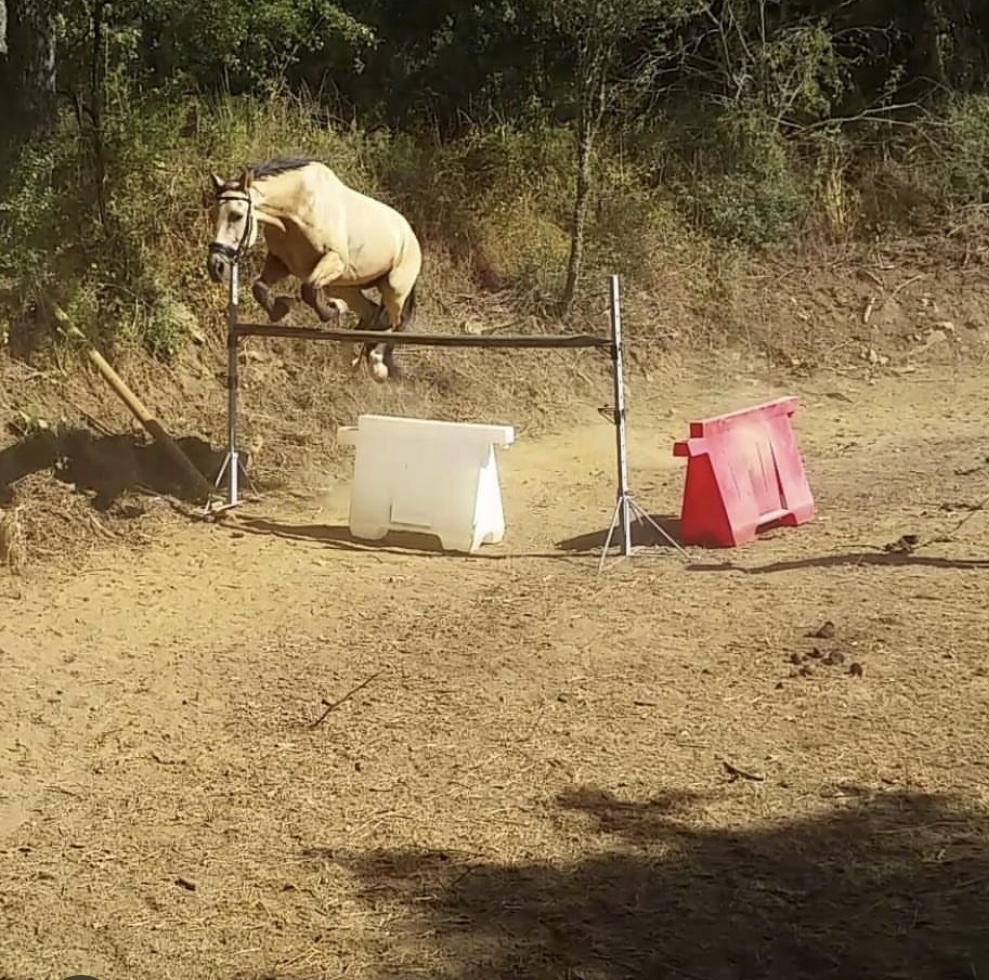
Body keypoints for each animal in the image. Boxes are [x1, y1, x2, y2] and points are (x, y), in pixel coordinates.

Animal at [205, 154, 422, 383]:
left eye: (236, 215)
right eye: (212, 215)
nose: (216, 266)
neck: (296, 208)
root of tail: (410, 234)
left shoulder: (334, 259)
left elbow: (308, 290)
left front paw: (332, 310)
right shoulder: (280, 262)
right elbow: (260, 288)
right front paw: (281, 308)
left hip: (394, 289)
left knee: (392, 322)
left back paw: (377, 364)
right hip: (344, 286)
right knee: (371, 313)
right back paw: (350, 356)